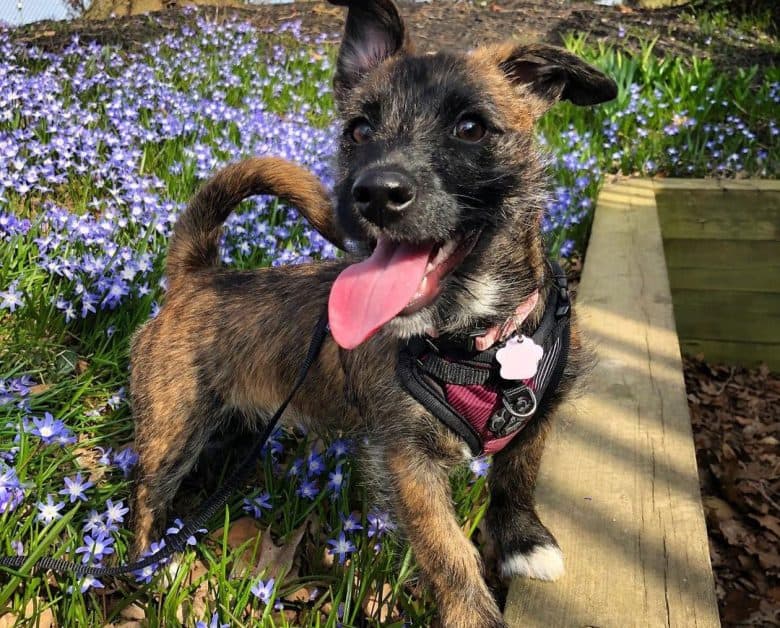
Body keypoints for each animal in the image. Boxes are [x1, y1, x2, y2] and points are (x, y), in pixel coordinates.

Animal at [128, 2, 616, 624]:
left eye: (471, 128)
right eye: (358, 129)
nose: (375, 193)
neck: (481, 339)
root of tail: (196, 275)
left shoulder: (538, 414)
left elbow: (517, 477)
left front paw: (523, 542)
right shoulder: (407, 463)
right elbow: (449, 556)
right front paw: (475, 611)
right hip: (174, 428)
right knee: (147, 495)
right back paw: (153, 569)